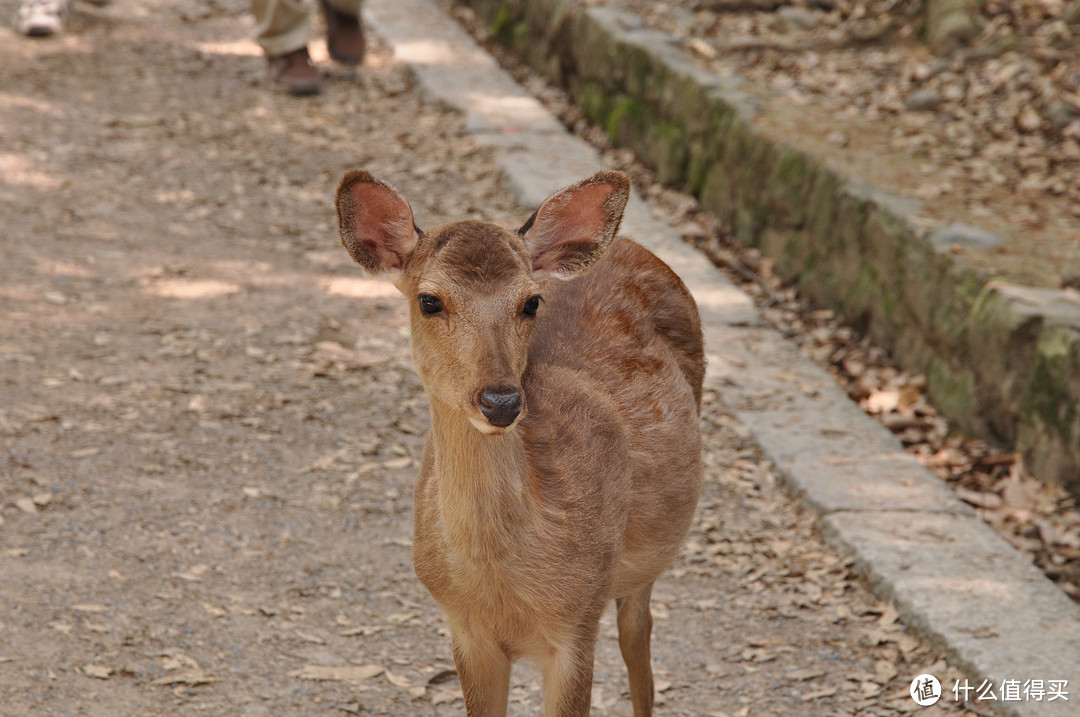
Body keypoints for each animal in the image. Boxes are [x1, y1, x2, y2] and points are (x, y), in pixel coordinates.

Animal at [336, 169, 708, 717]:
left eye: (531, 302)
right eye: (429, 300)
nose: (501, 400)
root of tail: (632, 245)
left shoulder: (576, 625)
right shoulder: (464, 629)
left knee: (637, 631)